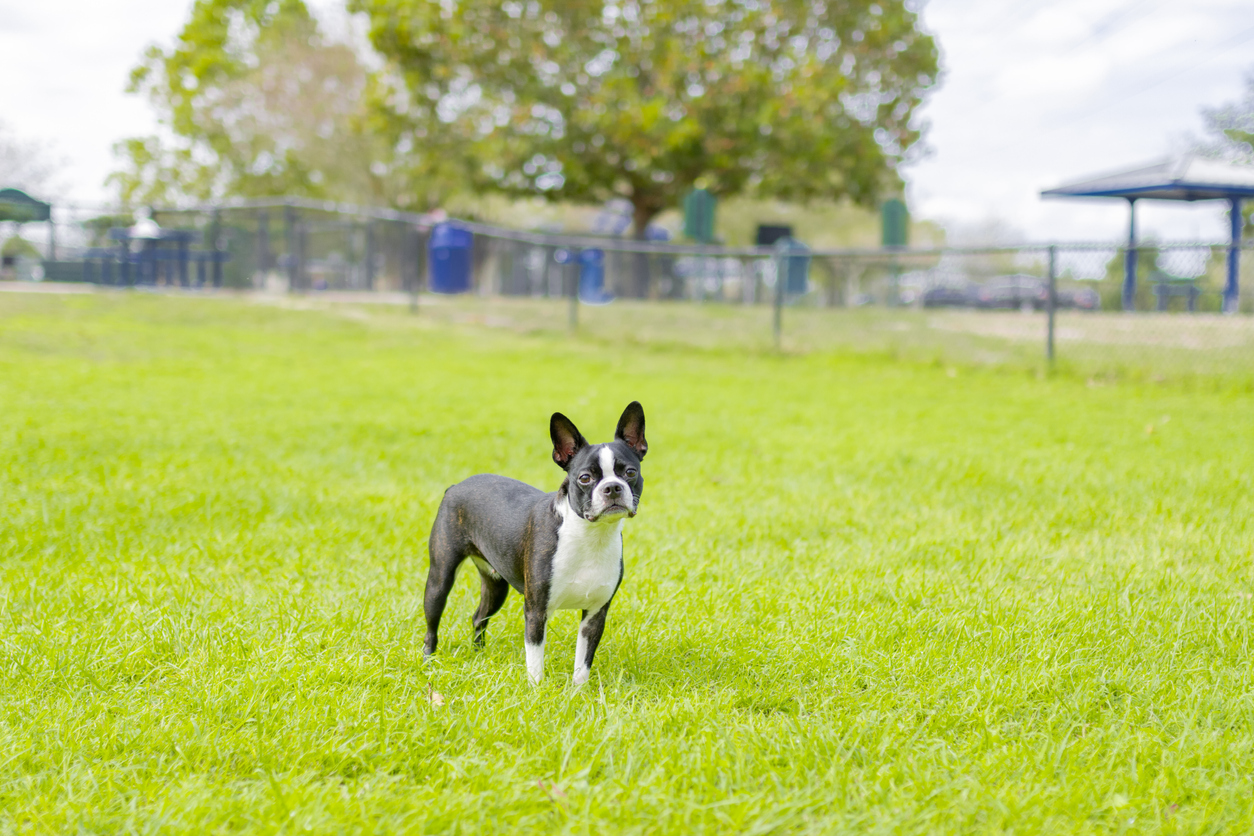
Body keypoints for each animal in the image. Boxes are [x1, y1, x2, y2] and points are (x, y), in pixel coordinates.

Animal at [426, 401, 652, 681]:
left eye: (630, 473)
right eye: (585, 478)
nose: (612, 487)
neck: (590, 535)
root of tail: (455, 486)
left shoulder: (595, 614)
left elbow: (582, 663)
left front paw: (579, 689)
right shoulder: (536, 611)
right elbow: (535, 661)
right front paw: (536, 688)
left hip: (495, 584)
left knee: (478, 617)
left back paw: (479, 655)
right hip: (440, 577)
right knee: (432, 627)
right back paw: (428, 663)